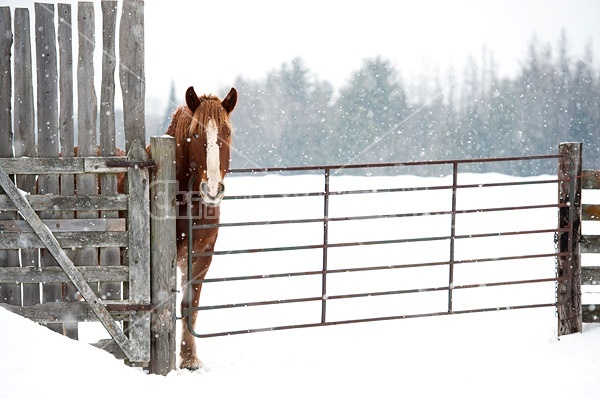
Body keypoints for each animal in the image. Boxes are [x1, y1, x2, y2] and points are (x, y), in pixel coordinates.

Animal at [165, 86, 238, 370]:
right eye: (195, 134)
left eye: (226, 133)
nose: (213, 190)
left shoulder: (201, 256)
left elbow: (190, 304)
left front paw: (189, 357)